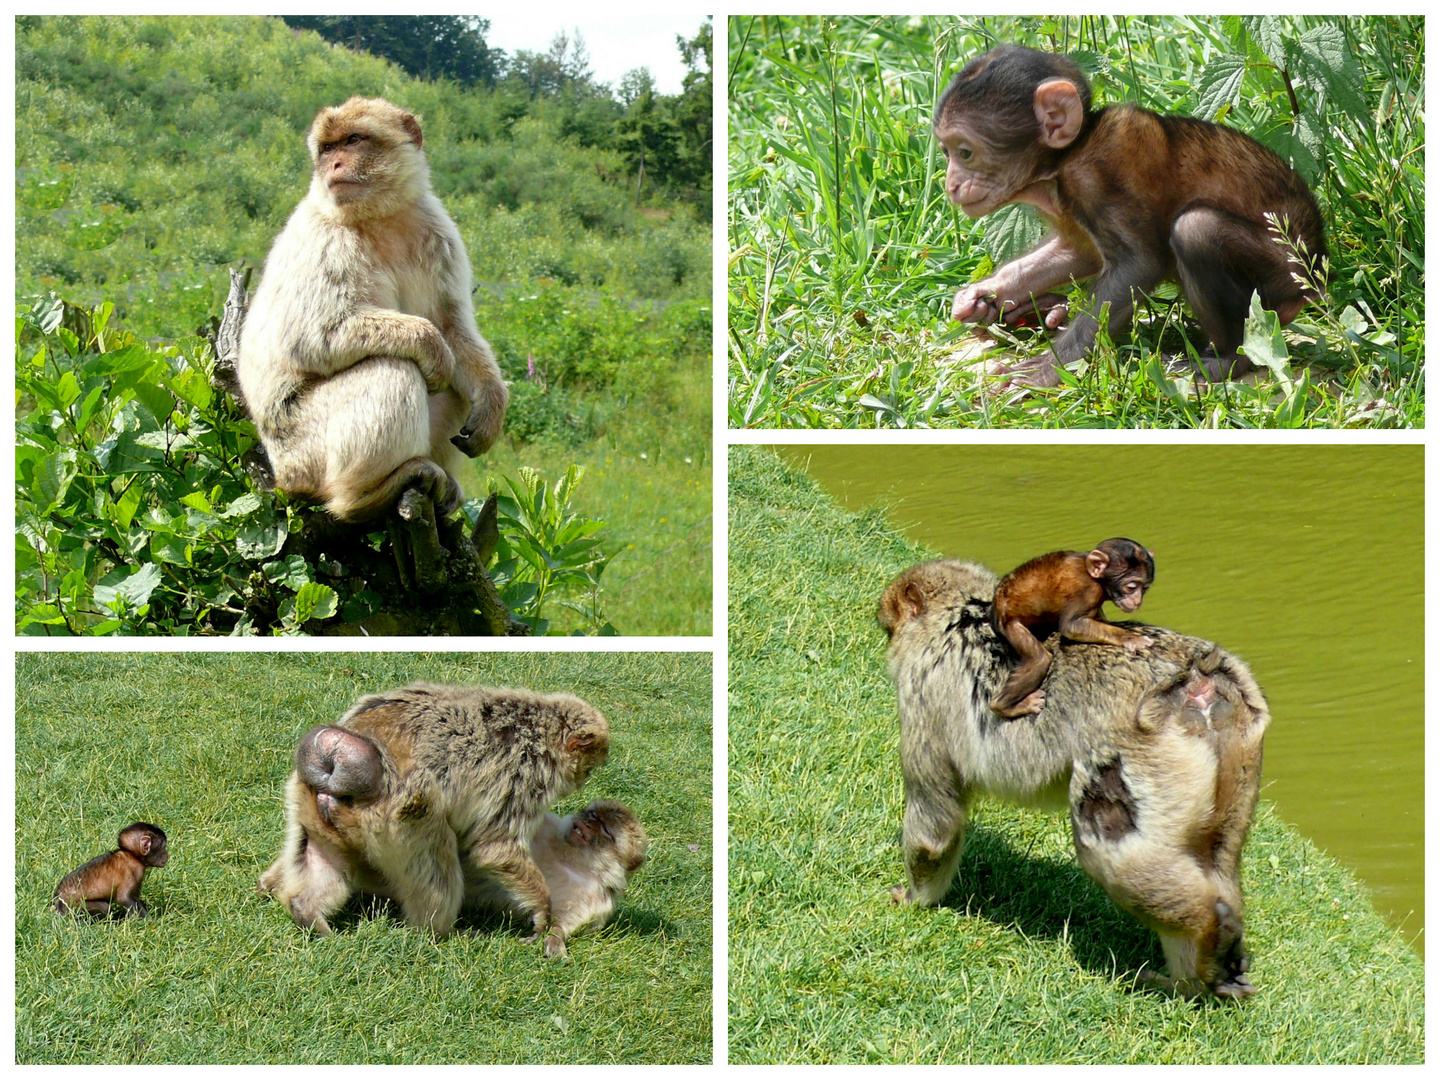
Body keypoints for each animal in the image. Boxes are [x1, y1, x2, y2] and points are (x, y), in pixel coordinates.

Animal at [875, 561, 1272, 1002]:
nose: (886, 634)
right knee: (1218, 858)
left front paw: (914, 898)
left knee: (1109, 848)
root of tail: (1198, 678)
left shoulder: (923, 696)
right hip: (1241, 751)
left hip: (1137, 758)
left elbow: (935, 822)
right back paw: (1197, 976)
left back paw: (1206, 938)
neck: (954, 615)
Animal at [990, 538, 1157, 720]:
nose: (1137, 601)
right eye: (1132, 587)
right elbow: (1071, 625)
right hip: (1009, 625)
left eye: (1144, 588)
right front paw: (1130, 638)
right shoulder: (1088, 590)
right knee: (1040, 660)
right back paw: (1004, 706)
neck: (1095, 577)